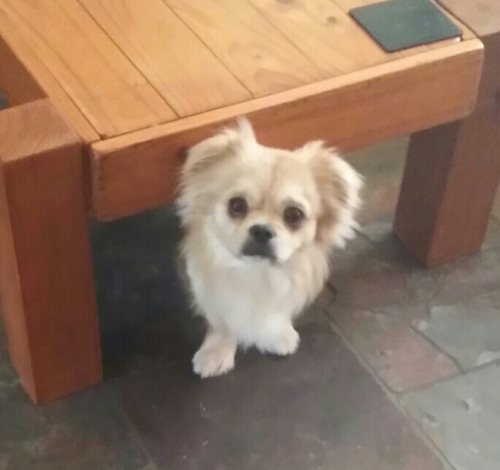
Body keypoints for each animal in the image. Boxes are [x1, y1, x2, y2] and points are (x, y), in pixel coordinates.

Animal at [177, 118, 364, 378]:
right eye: (237, 205)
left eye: (294, 215)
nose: (262, 230)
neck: (257, 274)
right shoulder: (212, 291)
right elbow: (222, 321)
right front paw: (216, 351)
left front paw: (277, 334)